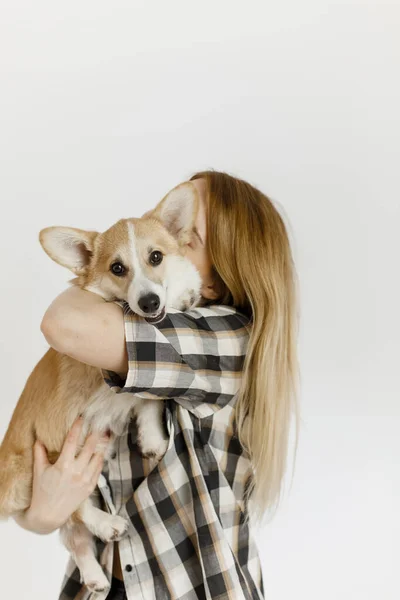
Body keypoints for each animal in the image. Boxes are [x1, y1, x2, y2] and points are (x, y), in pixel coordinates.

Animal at [0, 182, 203, 592]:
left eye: (156, 257)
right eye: (117, 268)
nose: (149, 302)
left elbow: (149, 400)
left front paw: (152, 440)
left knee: (73, 534)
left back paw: (94, 575)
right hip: (38, 463)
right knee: (74, 510)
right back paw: (107, 524)